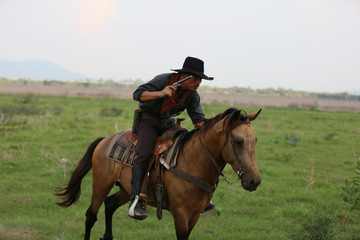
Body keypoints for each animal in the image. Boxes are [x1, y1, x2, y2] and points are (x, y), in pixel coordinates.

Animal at [54, 107, 262, 240]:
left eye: (255, 140)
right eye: (238, 141)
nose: (254, 181)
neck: (193, 161)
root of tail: (105, 140)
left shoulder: (195, 215)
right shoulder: (180, 214)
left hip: (126, 189)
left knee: (110, 204)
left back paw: (108, 236)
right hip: (101, 183)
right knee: (91, 216)